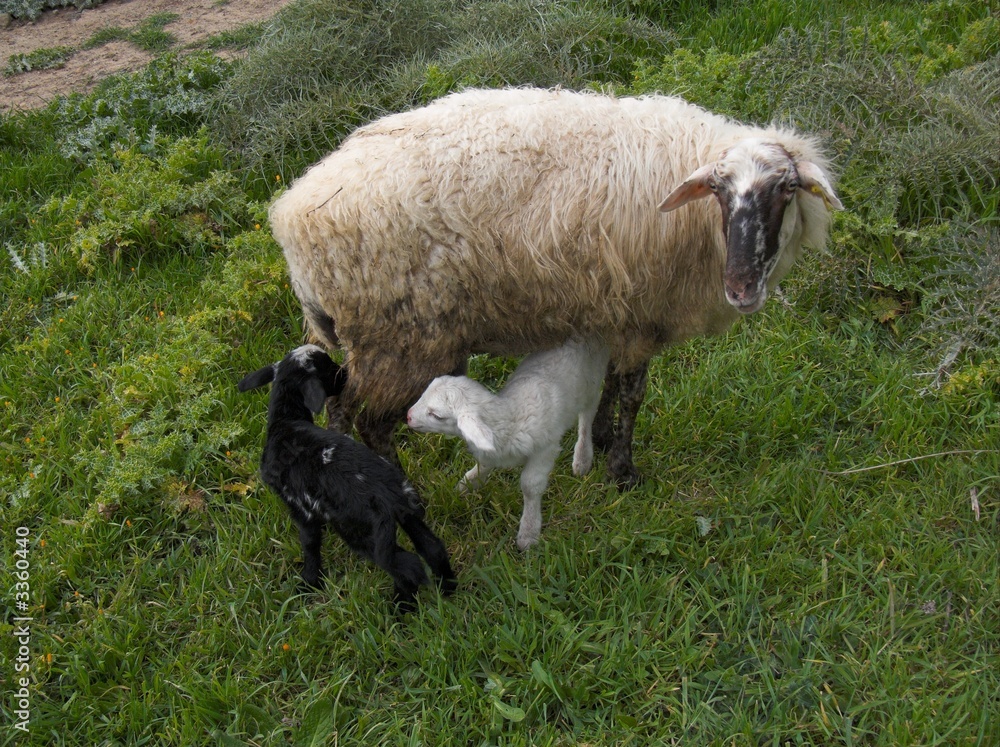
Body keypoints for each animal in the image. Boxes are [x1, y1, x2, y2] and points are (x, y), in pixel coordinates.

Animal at [238, 344, 457, 611]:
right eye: (330, 368)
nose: (347, 377)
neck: (286, 420)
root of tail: (388, 495)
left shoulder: (300, 506)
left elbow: (310, 544)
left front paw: (309, 583)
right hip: (408, 514)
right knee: (432, 548)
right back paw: (447, 588)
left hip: (360, 530)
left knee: (406, 565)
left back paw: (400, 606)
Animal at [270, 87, 843, 487]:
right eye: (719, 190)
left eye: (787, 188)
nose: (742, 288)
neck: (697, 223)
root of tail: (292, 218)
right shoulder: (644, 313)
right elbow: (633, 391)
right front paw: (623, 471)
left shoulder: (616, 308)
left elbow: (610, 382)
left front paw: (603, 440)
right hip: (401, 336)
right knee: (366, 419)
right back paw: (401, 488)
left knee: (344, 410)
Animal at [406, 338, 610, 550]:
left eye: (436, 415)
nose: (408, 416)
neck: (511, 415)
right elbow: (482, 467)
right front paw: (465, 486)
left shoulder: (545, 448)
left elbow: (530, 485)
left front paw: (528, 533)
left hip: (591, 382)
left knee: (587, 414)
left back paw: (582, 457)